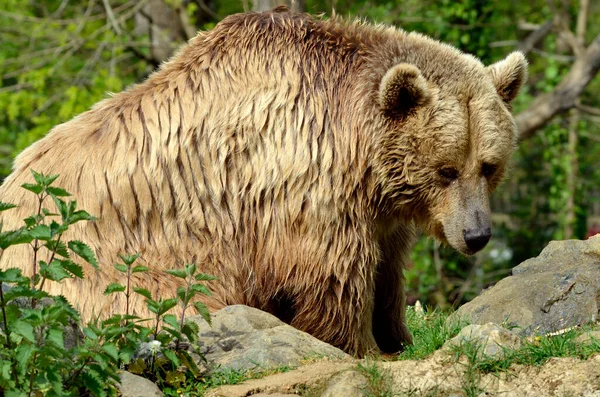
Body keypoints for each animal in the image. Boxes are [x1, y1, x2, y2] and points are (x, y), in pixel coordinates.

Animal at [0, 8, 524, 356]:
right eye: (446, 169)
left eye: (488, 165)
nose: (476, 235)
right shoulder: (299, 185)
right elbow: (334, 273)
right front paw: (359, 345)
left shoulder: (380, 206)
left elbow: (387, 270)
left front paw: (397, 335)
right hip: (99, 261)